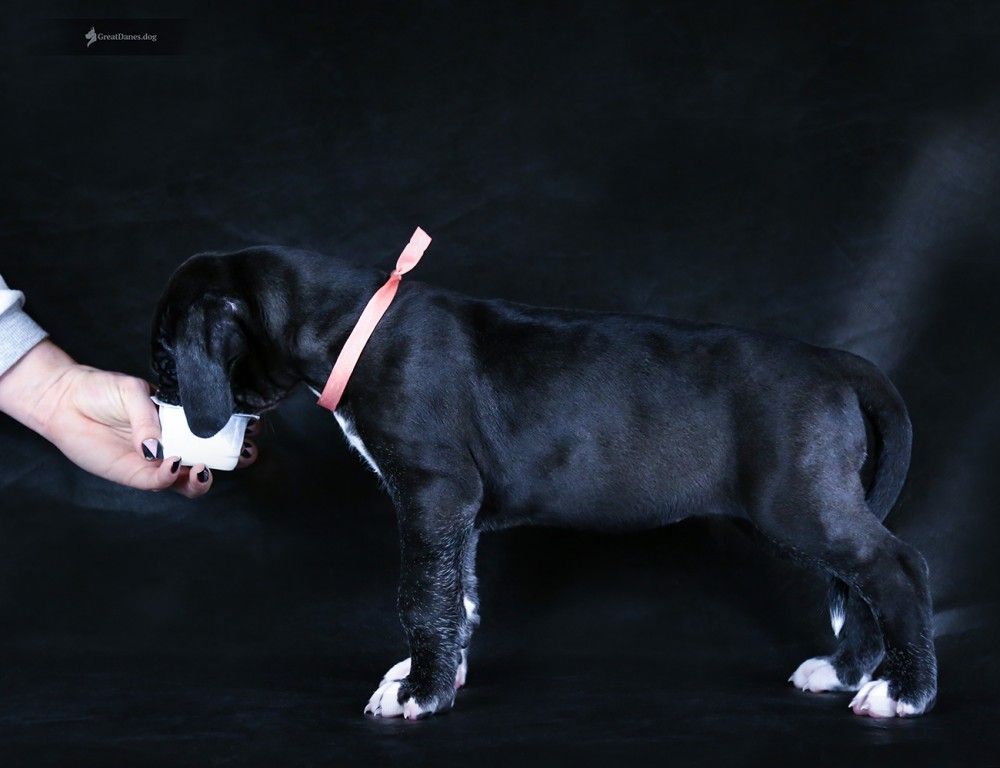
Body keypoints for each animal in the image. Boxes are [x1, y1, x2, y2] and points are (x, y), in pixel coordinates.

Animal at [150, 241, 937, 720]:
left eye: (165, 358)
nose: (156, 415)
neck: (355, 329)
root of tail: (833, 362)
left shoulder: (433, 491)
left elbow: (421, 596)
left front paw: (419, 693)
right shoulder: (456, 510)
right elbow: (456, 594)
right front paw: (438, 675)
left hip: (796, 501)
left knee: (895, 568)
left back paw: (901, 692)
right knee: (865, 579)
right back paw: (846, 672)